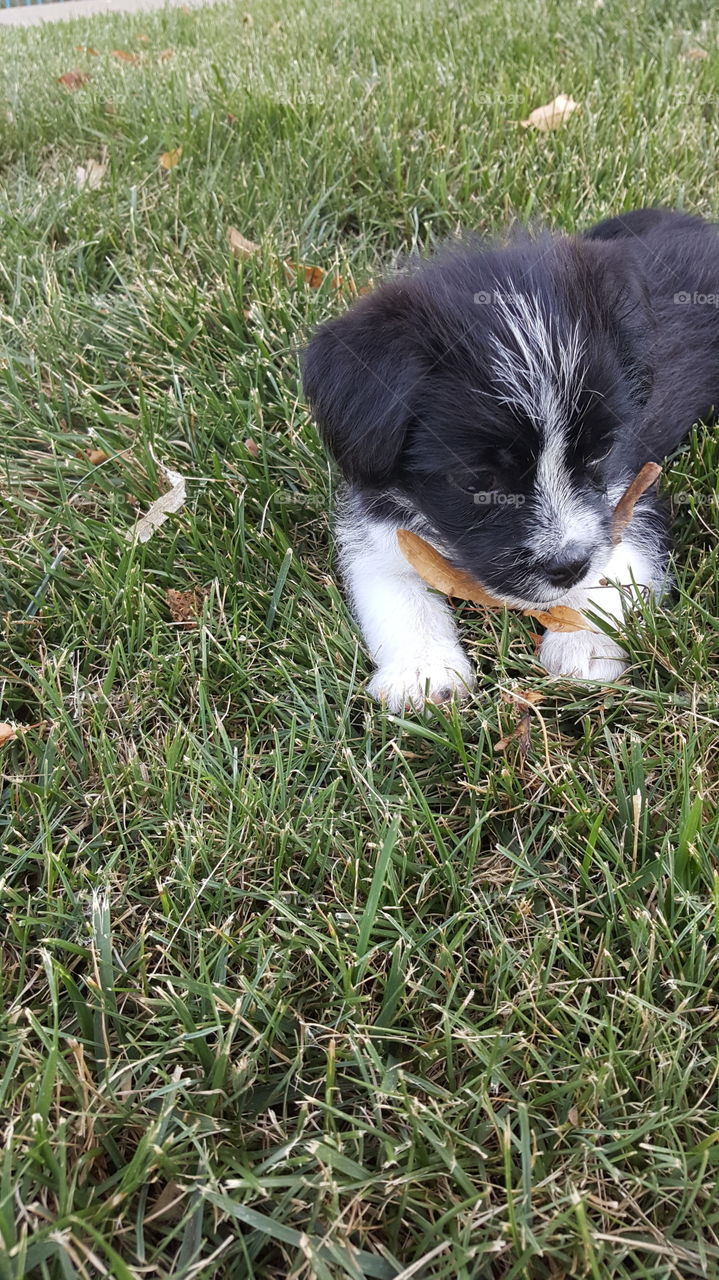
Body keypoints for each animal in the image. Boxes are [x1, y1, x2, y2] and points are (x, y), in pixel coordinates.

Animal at [301, 209, 716, 711]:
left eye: (600, 450)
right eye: (478, 479)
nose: (568, 567)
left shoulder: (633, 486)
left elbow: (619, 559)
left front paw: (584, 642)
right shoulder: (376, 508)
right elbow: (389, 581)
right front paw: (422, 670)